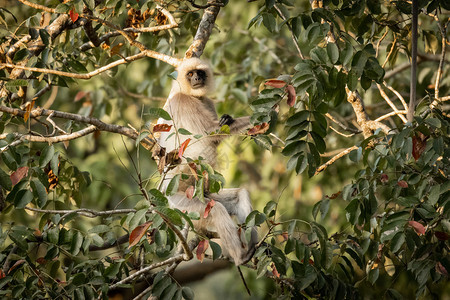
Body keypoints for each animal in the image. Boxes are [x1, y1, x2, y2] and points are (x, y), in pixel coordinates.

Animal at [155, 58, 256, 264]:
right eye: (190, 74)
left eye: (199, 73)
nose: (196, 79)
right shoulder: (183, 100)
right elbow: (212, 133)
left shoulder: (207, 102)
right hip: (181, 203)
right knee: (215, 210)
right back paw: (241, 256)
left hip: (205, 195)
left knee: (239, 195)